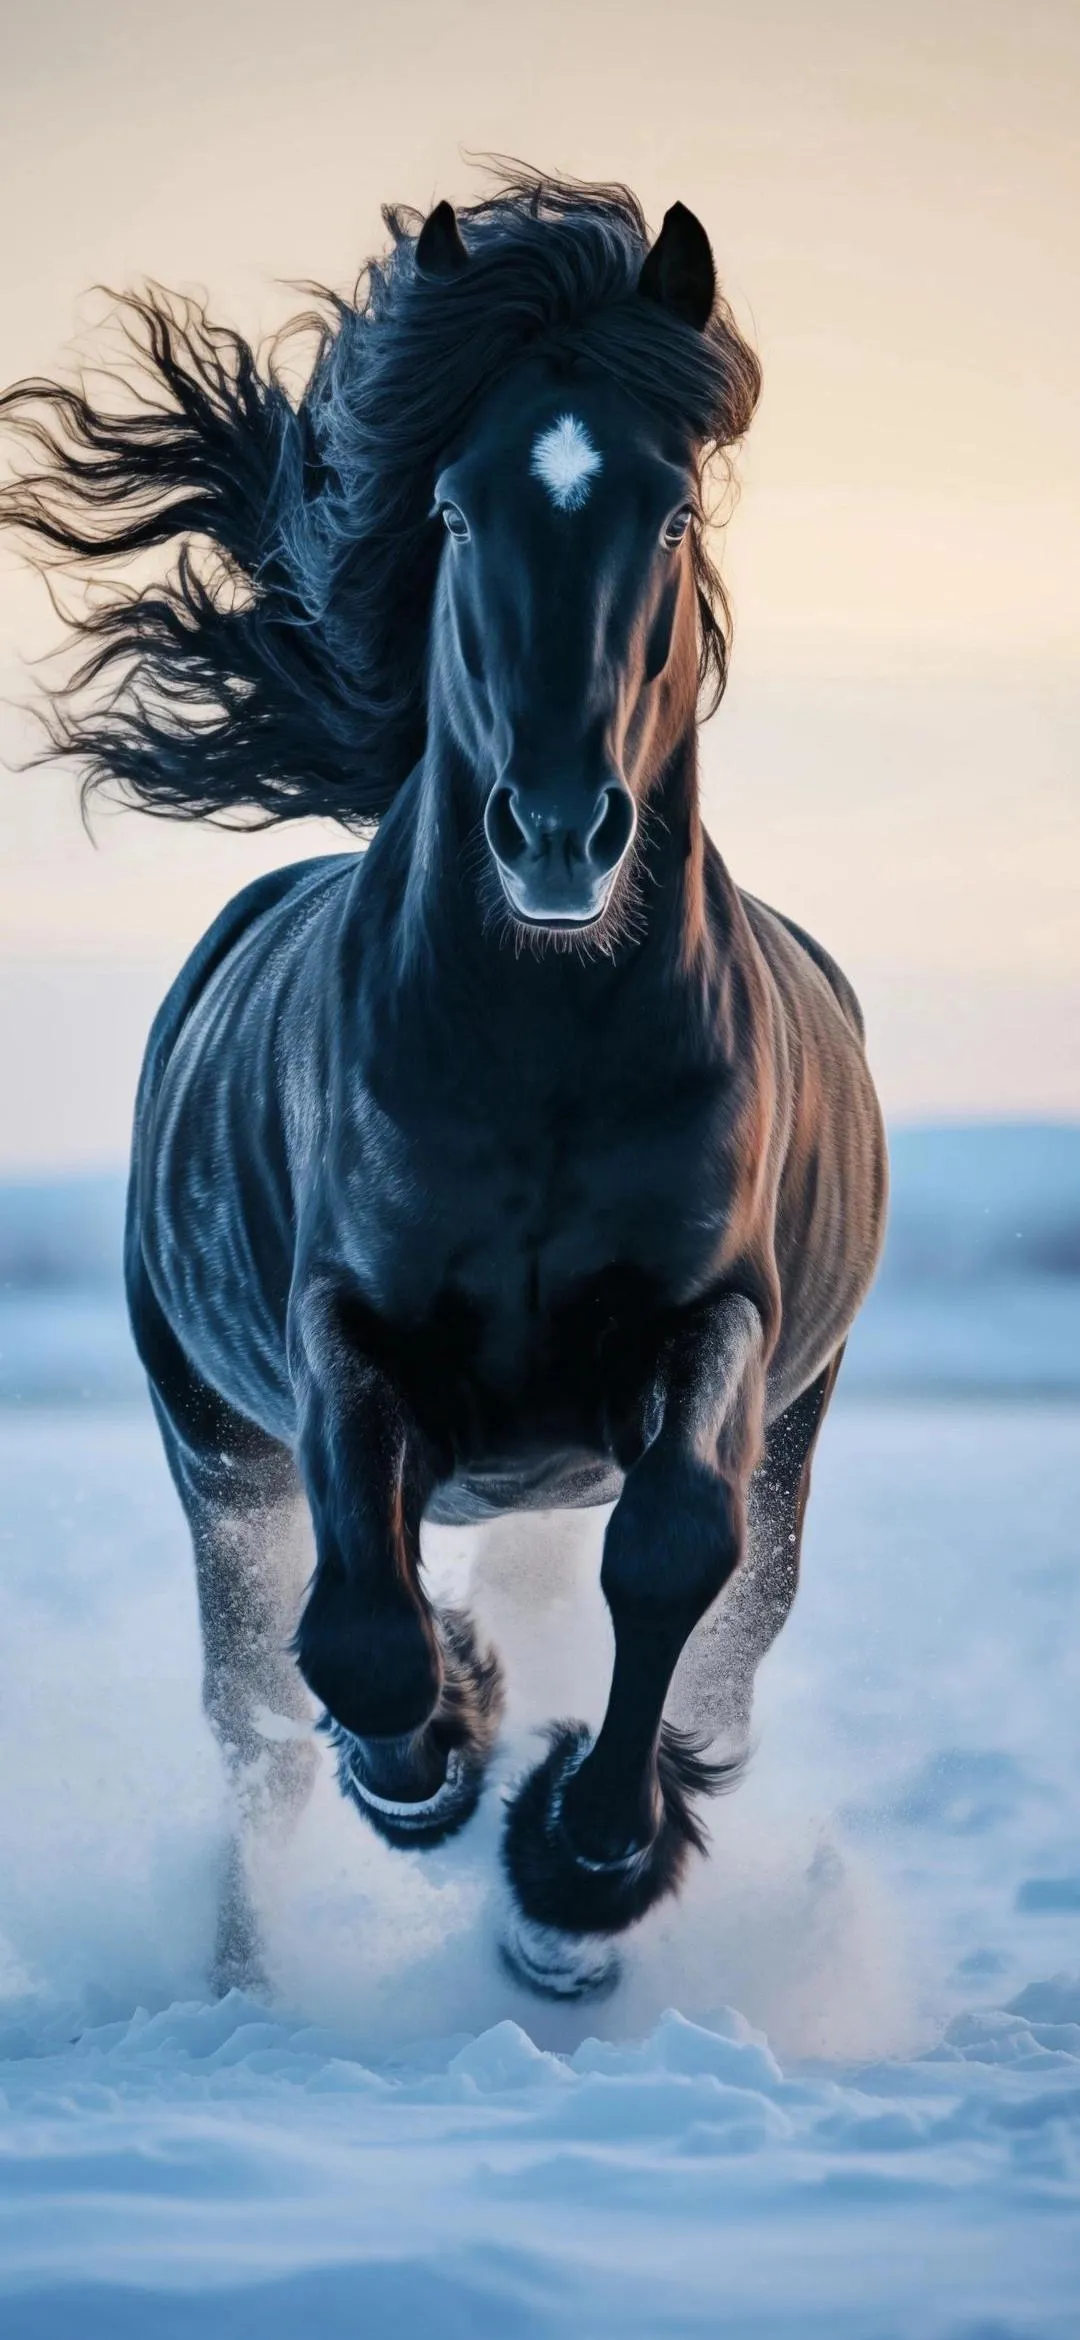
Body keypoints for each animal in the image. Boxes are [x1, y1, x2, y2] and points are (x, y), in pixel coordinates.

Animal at [1, 172, 887, 2000]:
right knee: (256, 1724)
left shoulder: (721, 1325)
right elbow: (356, 1635)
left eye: (669, 514)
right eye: (462, 513)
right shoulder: (341, 1336)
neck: (543, 1053)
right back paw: (248, 1971)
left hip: (779, 1436)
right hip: (218, 1456)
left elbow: (667, 1561)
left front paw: (580, 1873)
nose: (557, 832)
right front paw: (438, 1763)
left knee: (710, 1642)